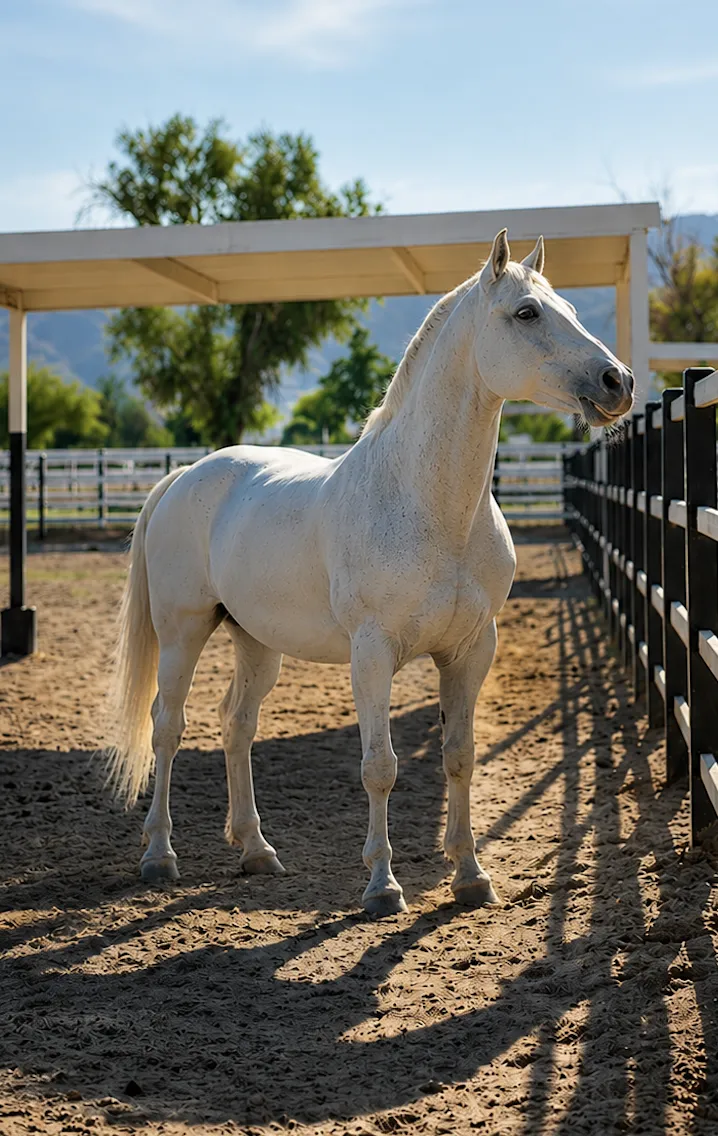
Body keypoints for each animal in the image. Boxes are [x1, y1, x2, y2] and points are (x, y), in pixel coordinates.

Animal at [104, 229, 633, 916]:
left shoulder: (471, 650)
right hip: (183, 631)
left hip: (256, 643)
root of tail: (184, 476)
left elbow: (459, 757)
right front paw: (382, 886)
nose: (617, 381)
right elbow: (380, 767)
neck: (427, 506)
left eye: (569, 307)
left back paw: (256, 850)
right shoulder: (373, 653)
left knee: (236, 726)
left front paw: (470, 875)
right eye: (526, 313)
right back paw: (160, 855)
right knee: (167, 729)